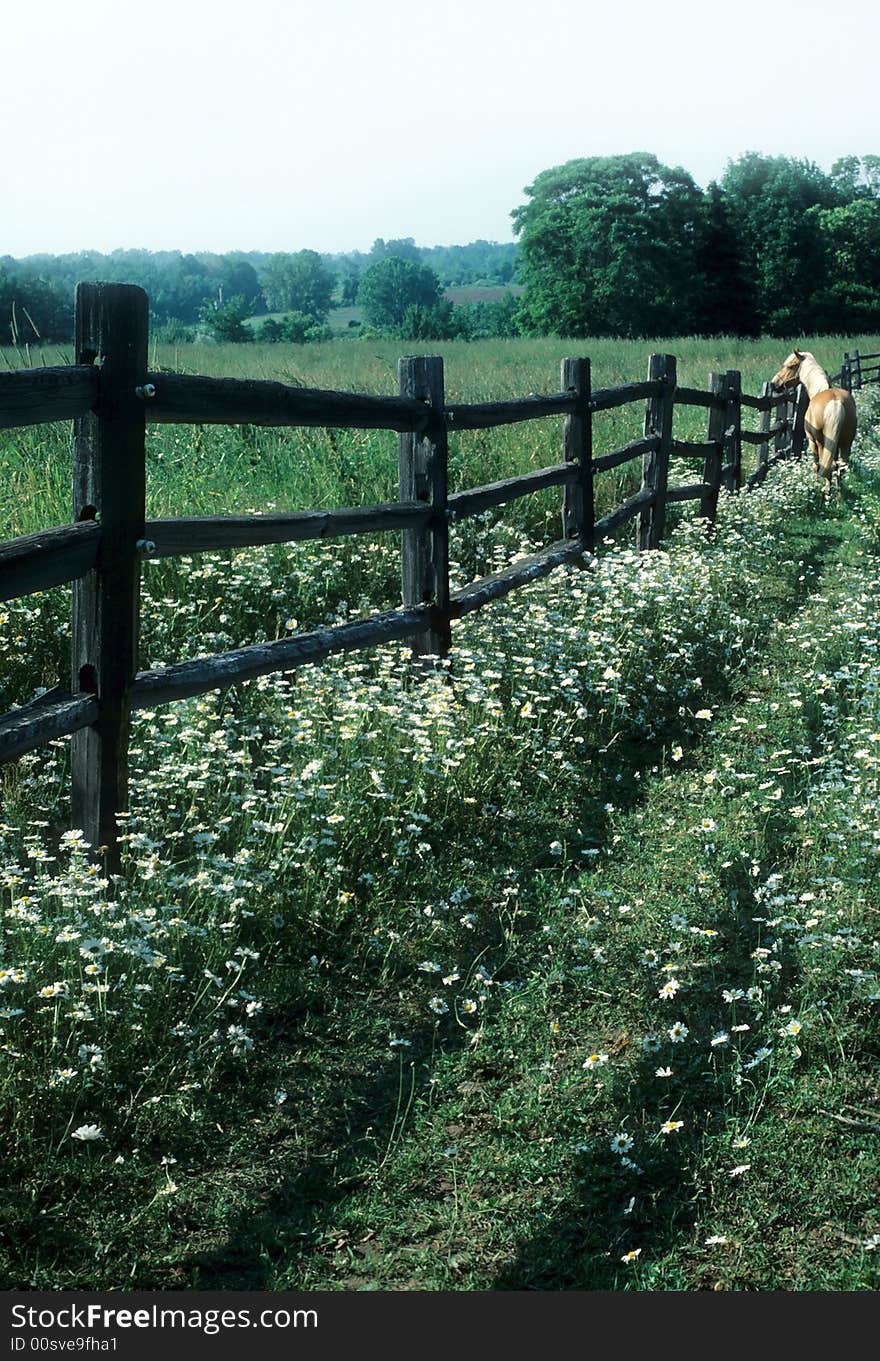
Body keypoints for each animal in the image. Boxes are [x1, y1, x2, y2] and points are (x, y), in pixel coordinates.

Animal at [772, 351, 859, 495]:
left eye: (790, 366)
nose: (774, 384)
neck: (819, 389)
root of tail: (835, 402)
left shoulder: (812, 442)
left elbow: (815, 465)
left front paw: (815, 484)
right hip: (846, 443)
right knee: (840, 467)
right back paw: (838, 496)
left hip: (821, 443)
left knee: (827, 467)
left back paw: (827, 495)